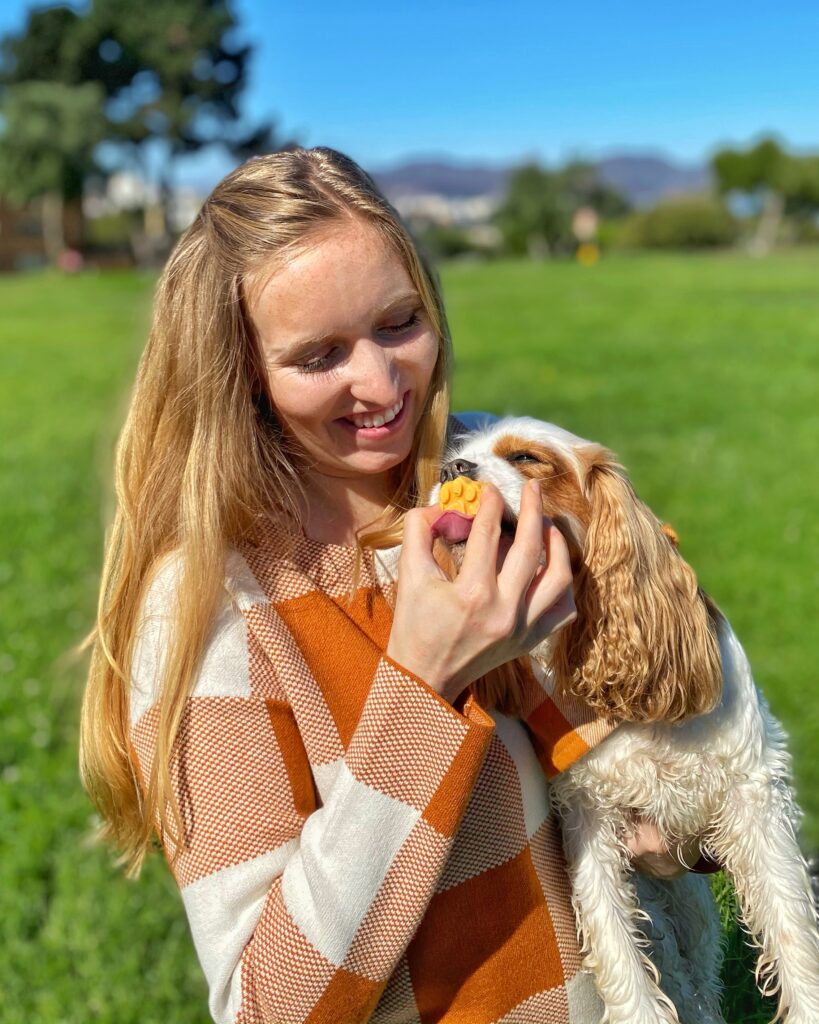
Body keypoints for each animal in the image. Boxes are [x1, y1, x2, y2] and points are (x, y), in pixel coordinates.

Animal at [421, 413, 818, 1024]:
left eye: (527, 459)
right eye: (457, 455)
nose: (451, 470)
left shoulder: (754, 799)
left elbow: (791, 927)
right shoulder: (589, 823)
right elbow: (618, 954)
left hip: (692, 907)